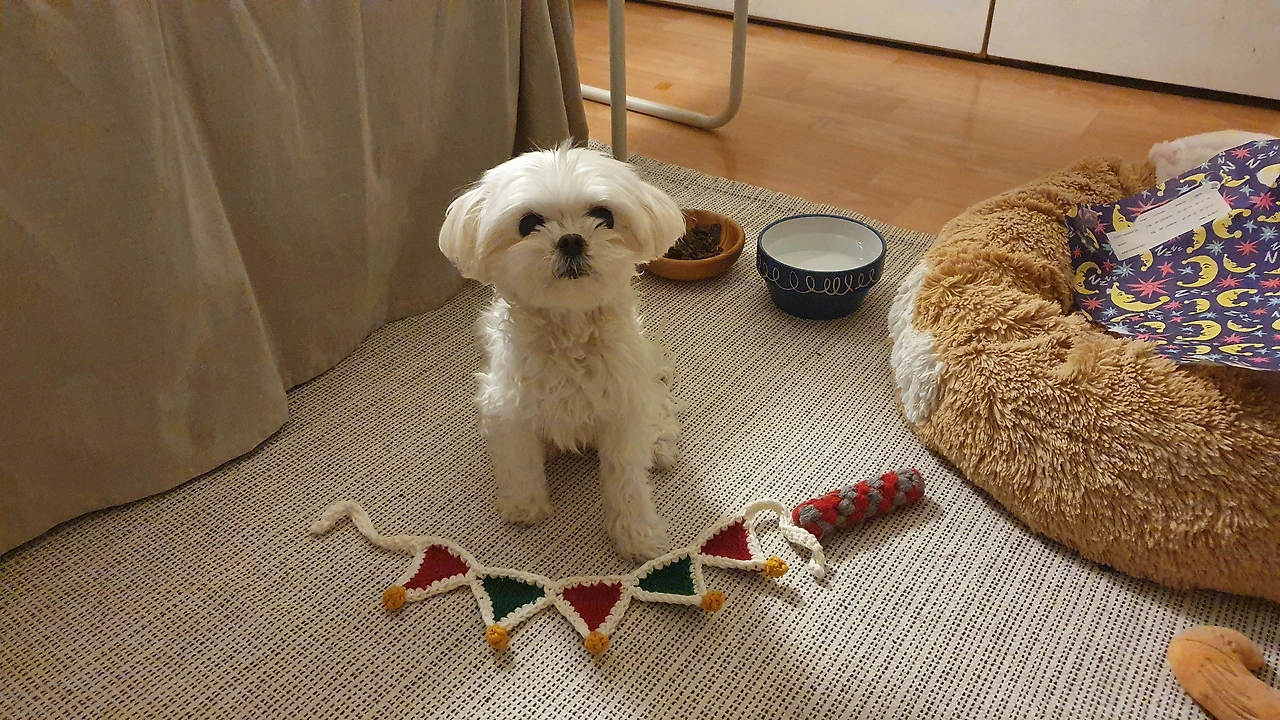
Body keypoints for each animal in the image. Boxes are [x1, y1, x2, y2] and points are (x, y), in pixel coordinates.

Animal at [438, 144, 686, 561]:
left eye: (604, 215)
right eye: (528, 223)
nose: (571, 239)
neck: (569, 330)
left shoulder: (622, 413)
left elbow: (626, 483)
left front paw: (636, 535)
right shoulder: (510, 410)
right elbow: (520, 463)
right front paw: (525, 505)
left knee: (660, 411)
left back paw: (660, 444)